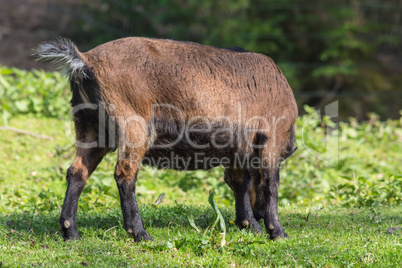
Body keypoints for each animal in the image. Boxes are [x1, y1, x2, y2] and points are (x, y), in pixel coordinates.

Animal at [36, 37, 296, 241]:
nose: (259, 215)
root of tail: (84, 61)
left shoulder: (236, 151)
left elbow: (239, 183)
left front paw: (252, 227)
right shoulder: (270, 138)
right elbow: (270, 183)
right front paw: (277, 232)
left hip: (92, 130)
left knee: (77, 172)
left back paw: (71, 232)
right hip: (134, 128)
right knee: (124, 174)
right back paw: (140, 234)